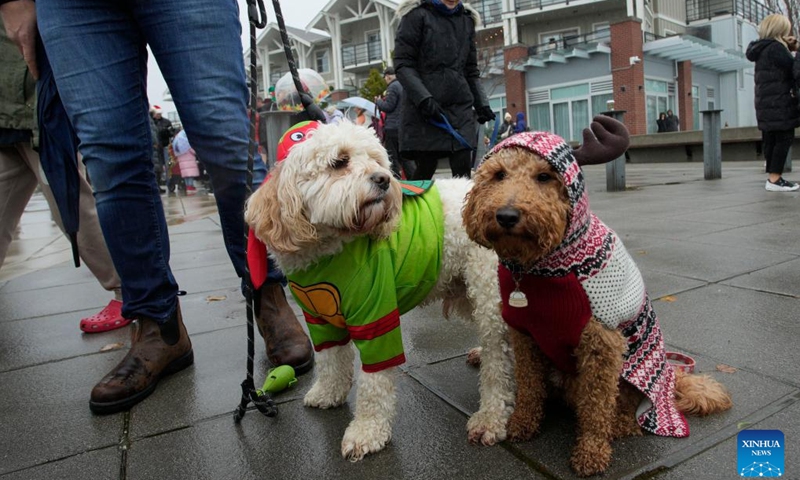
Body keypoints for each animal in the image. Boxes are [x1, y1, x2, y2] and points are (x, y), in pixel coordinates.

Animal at [244, 120, 516, 462]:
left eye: (376, 160)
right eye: (339, 162)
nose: (384, 179)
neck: (330, 249)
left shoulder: (375, 318)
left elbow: (374, 384)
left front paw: (367, 432)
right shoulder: (320, 319)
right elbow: (331, 360)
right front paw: (328, 393)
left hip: (488, 291)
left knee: (499, 361)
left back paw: (491, 416)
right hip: (466, 289)